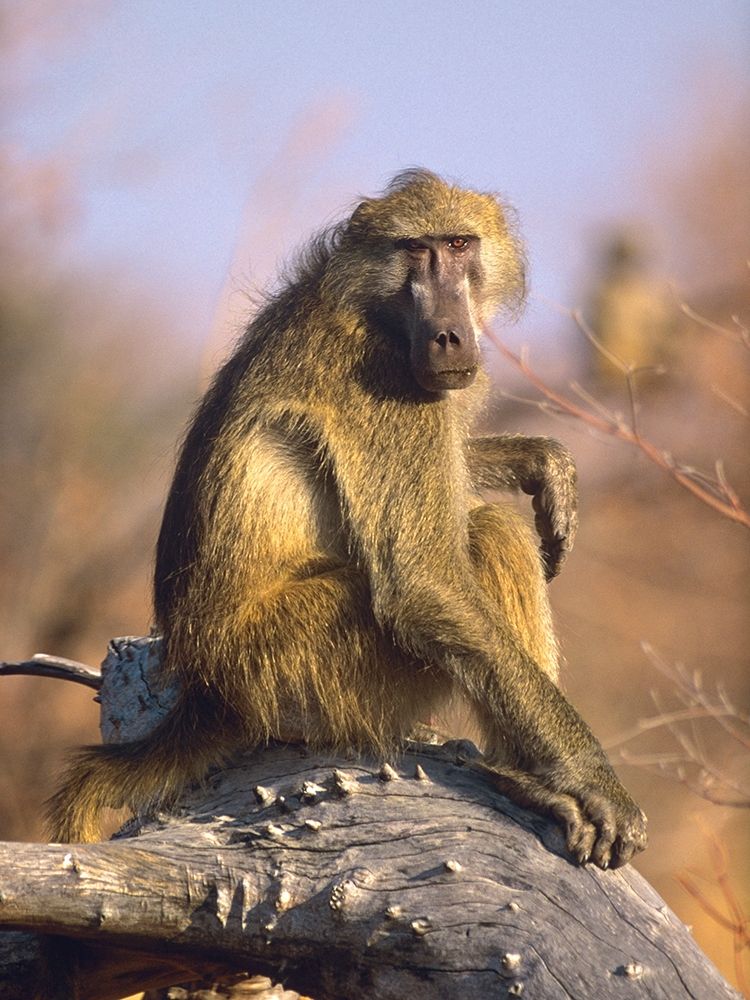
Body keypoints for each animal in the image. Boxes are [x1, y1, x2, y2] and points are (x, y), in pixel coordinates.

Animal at [47, 169, 647, 871]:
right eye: (416, 250)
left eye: (459, 244)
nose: (449, 335)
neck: (372, 304)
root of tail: (205, 683)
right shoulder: (387, 380)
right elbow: (423, 583)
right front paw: (593, 779)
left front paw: (540, 460)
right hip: (294, 662)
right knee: (488, 536)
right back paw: (529, 781)